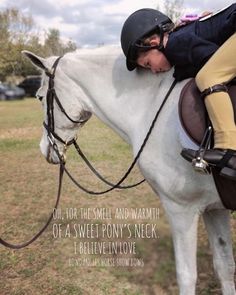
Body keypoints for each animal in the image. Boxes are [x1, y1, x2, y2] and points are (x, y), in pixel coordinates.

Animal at [24, 47, 236, 294]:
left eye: (40, 97)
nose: (44, 148)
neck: (152, 102)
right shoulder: (214, 208)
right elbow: (224, 267)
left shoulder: (181, 209)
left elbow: (186, 275)